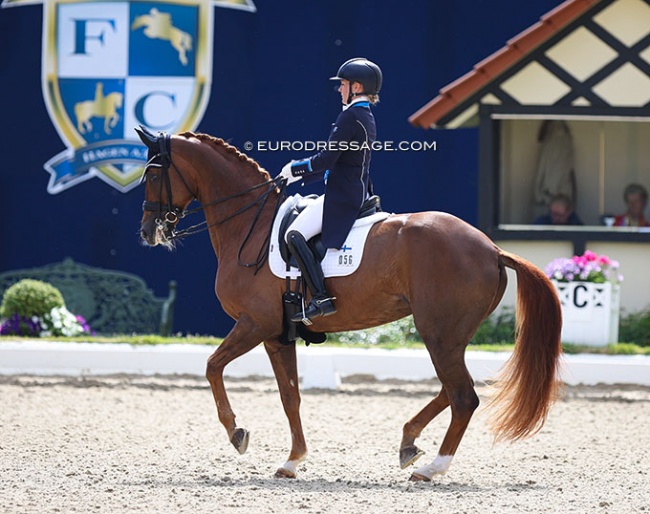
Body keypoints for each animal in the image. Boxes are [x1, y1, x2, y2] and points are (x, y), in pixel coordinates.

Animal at [134, 127, 560, 480]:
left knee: (463, 396)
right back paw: (409, 442)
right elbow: (290, 396)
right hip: (450, 336)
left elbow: (212, 367)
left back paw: (431, 468)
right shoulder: (278, 335)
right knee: (455, 389)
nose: (148, 232)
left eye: (153, 175)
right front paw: (293, 460)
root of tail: (491, 248)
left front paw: (237, 433)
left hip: (438, 334)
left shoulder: (255, 323)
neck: (250, 227)